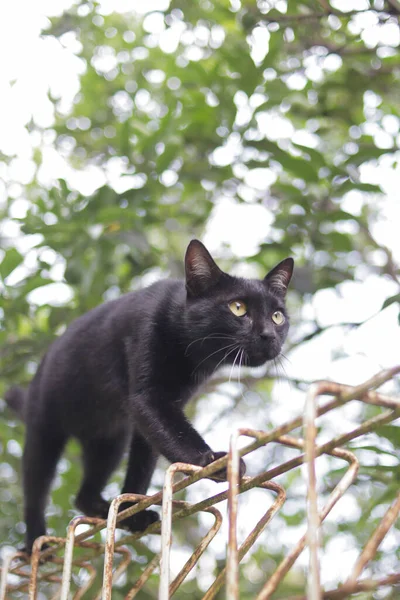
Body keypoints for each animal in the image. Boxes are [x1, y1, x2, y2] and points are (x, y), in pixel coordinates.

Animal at [5, 239, 294, 552]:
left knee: (84, 494)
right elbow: (178, 435)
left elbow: (144, 461)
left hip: (109, 439)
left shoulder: (164, 406)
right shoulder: (148, 396)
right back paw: (36, 542)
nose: (268, 335)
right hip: (44, 432)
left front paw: (132, 513)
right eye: (237, 308)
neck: (190, 351)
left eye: (277, 316)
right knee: (35, 490)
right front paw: (214, 461)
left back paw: (103, 509)